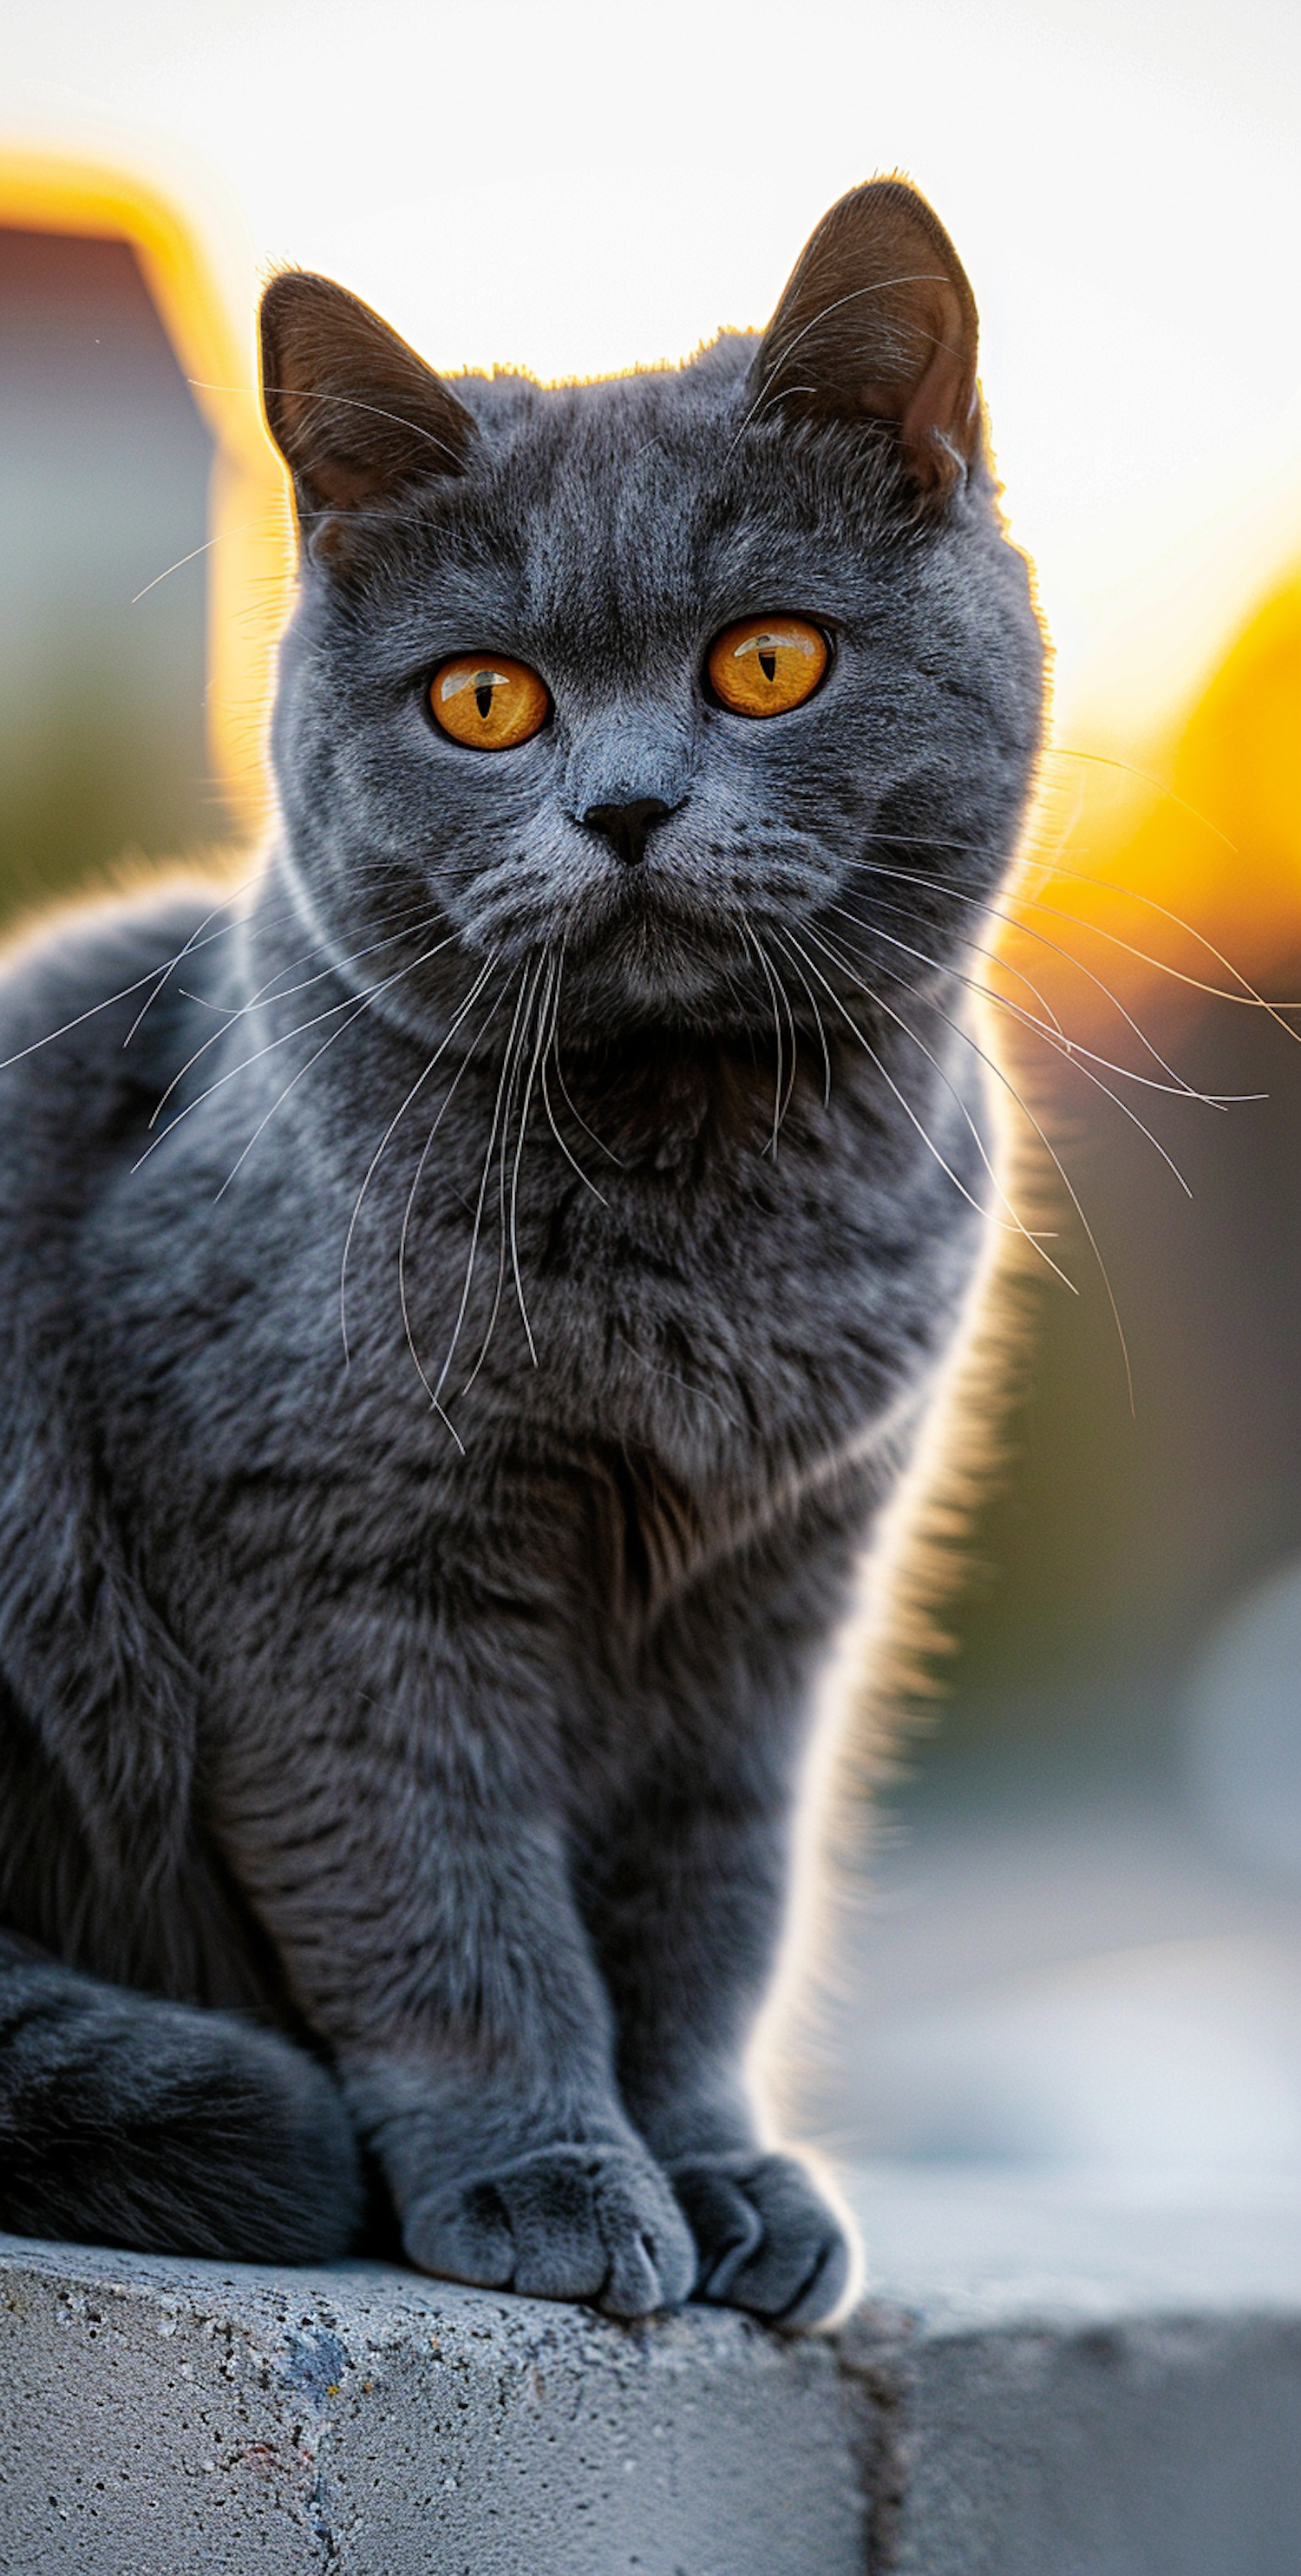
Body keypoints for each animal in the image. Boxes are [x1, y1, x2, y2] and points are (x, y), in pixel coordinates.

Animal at [0, 171, 1041, 2328]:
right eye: (483, 698)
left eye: (768, 662)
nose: (626, 805)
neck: (697, 1203)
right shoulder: (332, 1553)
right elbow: (445, 1899)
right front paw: (551, 2179)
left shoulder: (768, 1611)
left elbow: (702, 1913)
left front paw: (717, 2174)